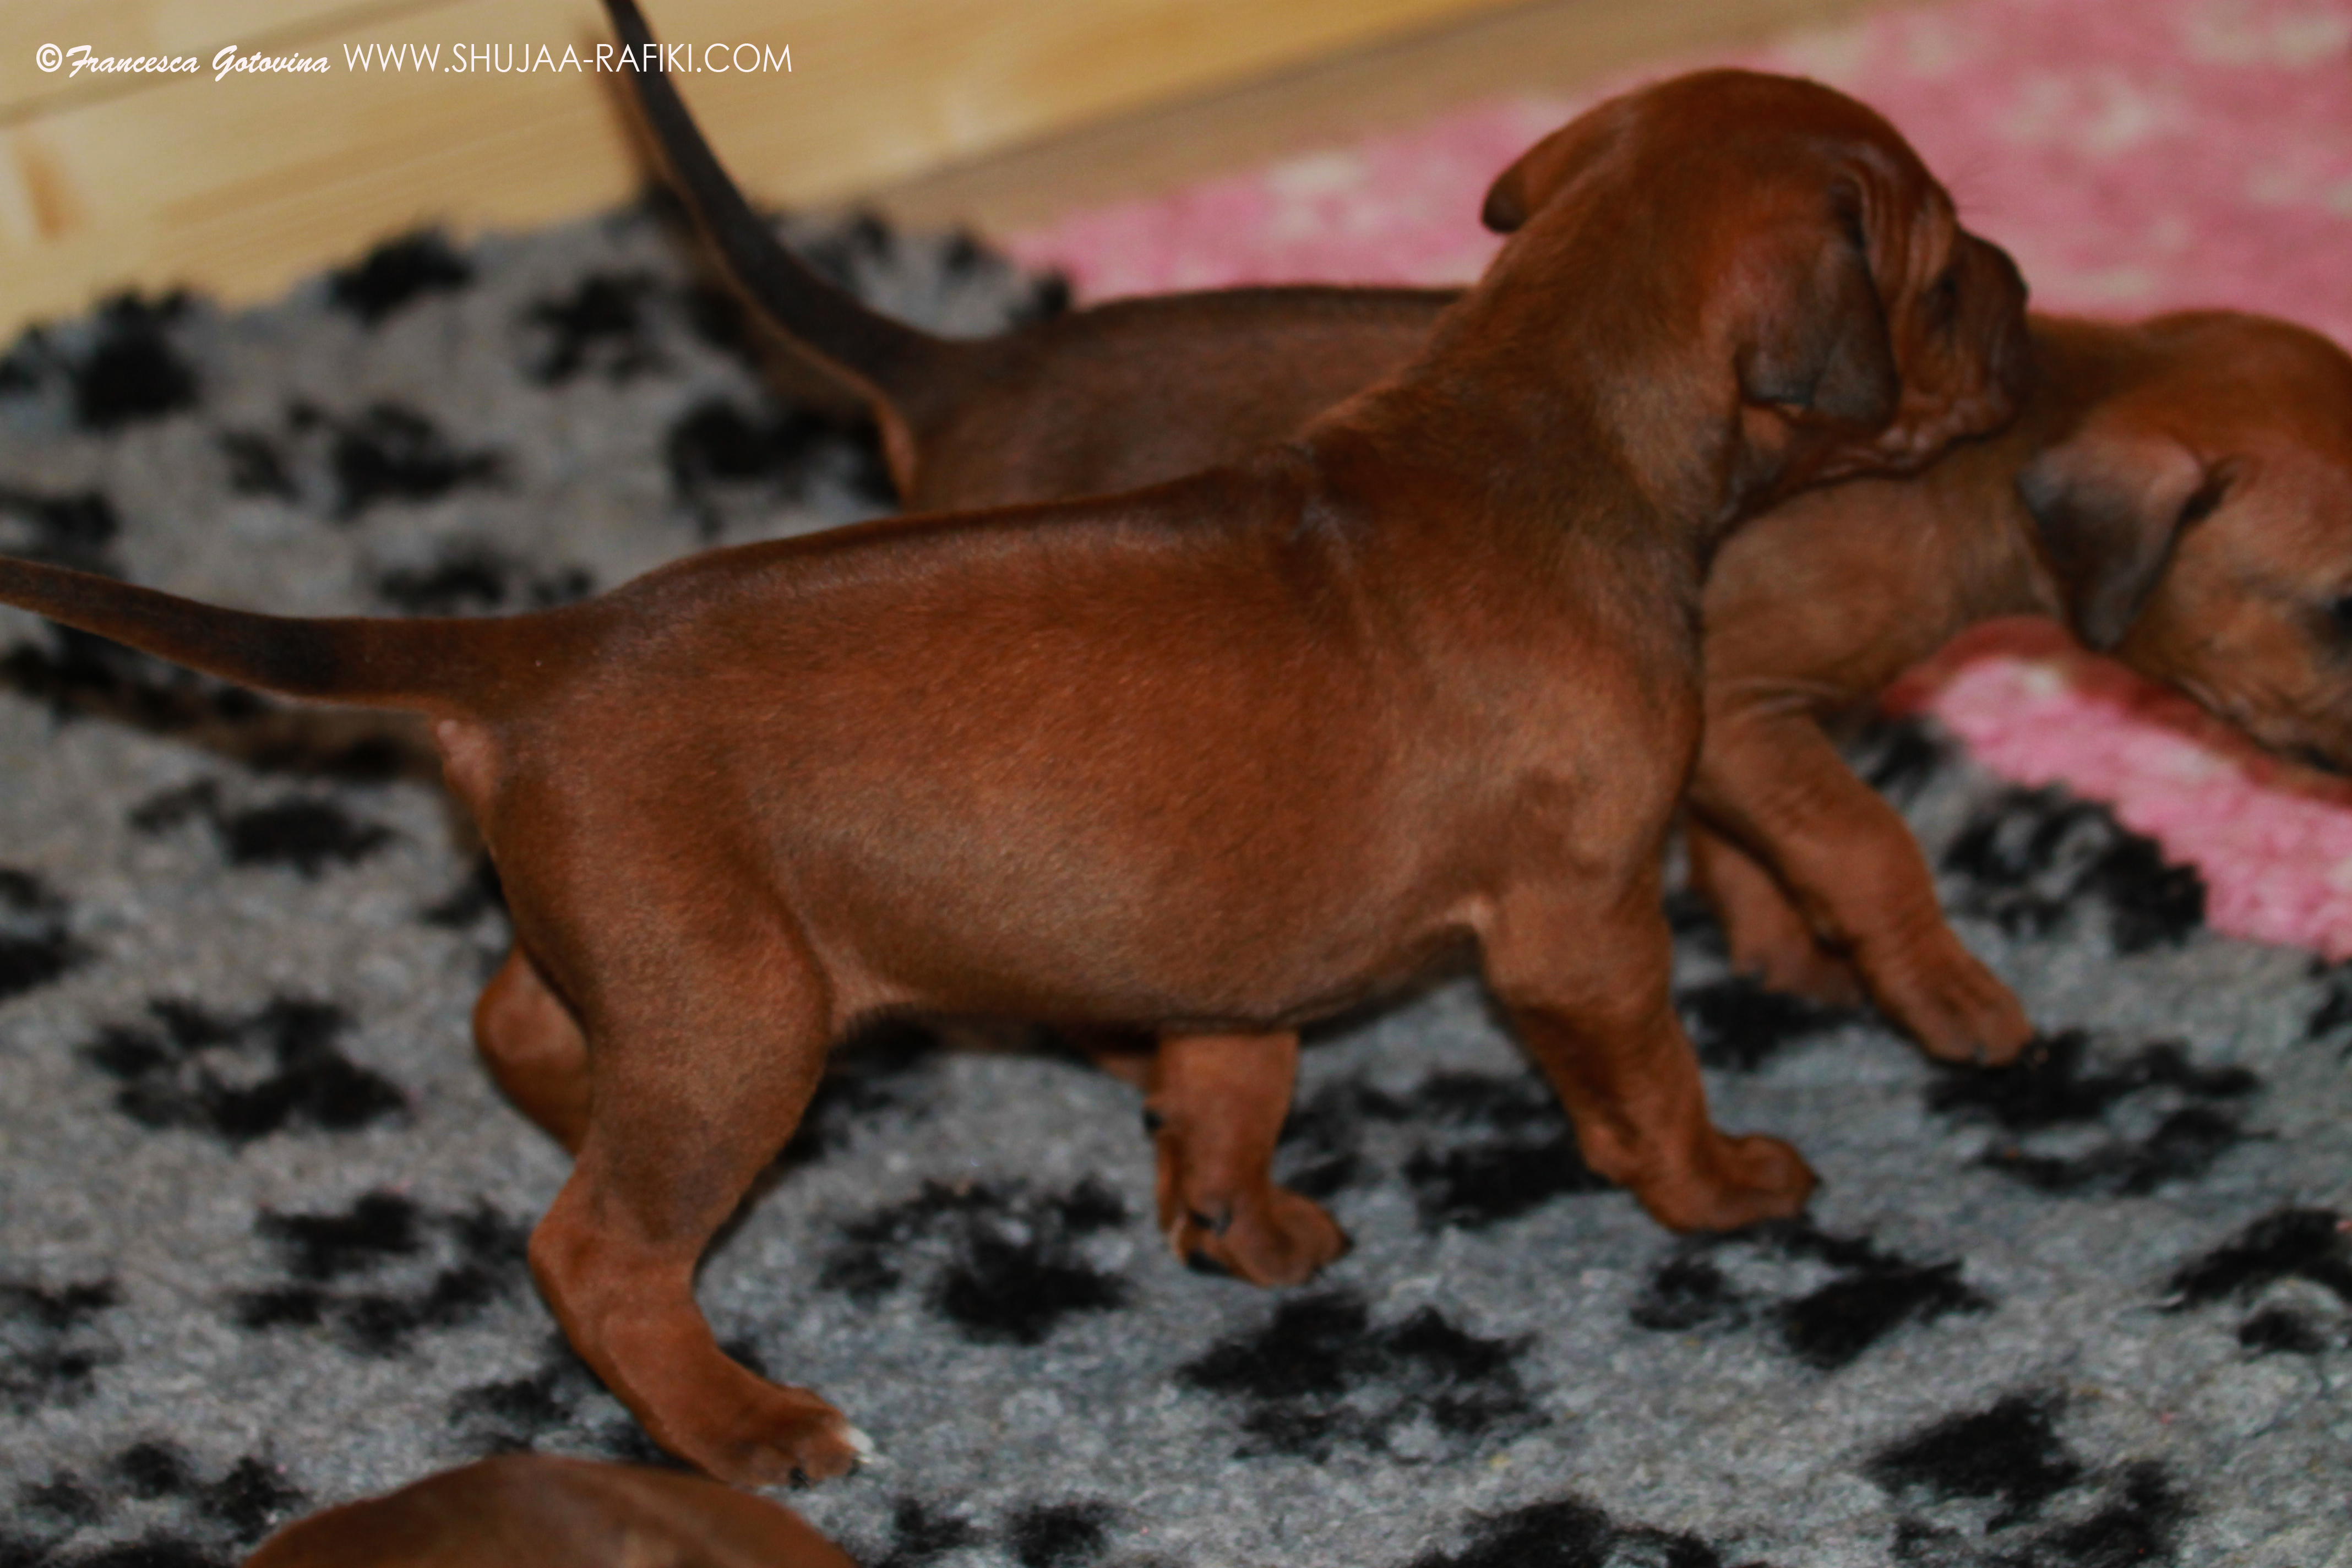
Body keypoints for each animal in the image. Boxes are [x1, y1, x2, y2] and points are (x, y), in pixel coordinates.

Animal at [0, 69, 2027, 1481]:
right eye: (1941, 266)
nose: (2022, 284)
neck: (1539, 411)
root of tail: (539, 649)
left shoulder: (1235, 943)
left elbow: (1233, 1079)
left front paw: (1240, 1222)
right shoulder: (1582, 924)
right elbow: (1651, 1080)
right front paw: (1726, 1184)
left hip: (665, 951)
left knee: (520, 1025)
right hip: (737, 1030)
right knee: (596, 1251)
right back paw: (748, 1427)